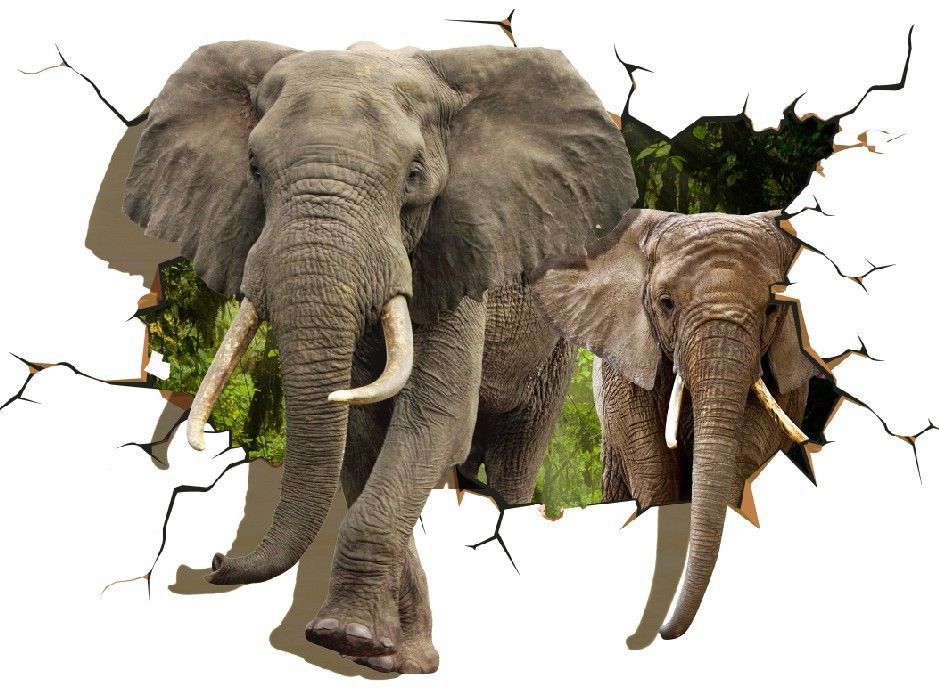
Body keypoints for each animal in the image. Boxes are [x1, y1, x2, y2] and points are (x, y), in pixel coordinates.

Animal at [122, 40, 636, 672]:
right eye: (254, 170)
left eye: (414, 175)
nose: (214, 561)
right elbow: (363, 436)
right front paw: (383, 653)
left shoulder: (457, 254)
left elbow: (435, 419)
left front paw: (351, 640)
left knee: (519, 443)